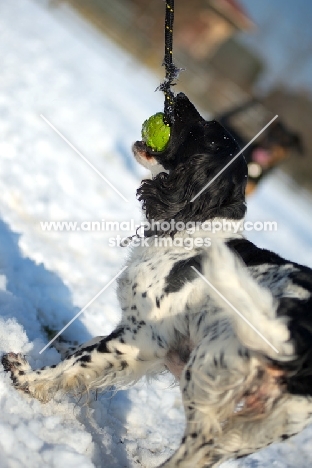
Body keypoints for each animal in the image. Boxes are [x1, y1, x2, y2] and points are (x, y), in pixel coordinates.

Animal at [1, 93, 312, 466]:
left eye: (205, 128)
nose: (179, 96)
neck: (195, 227)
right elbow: (87, 349)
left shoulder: (144, 336)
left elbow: (80, 360)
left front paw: (28, 377)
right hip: (268, 421)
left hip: (207, 366)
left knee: (200, 442)